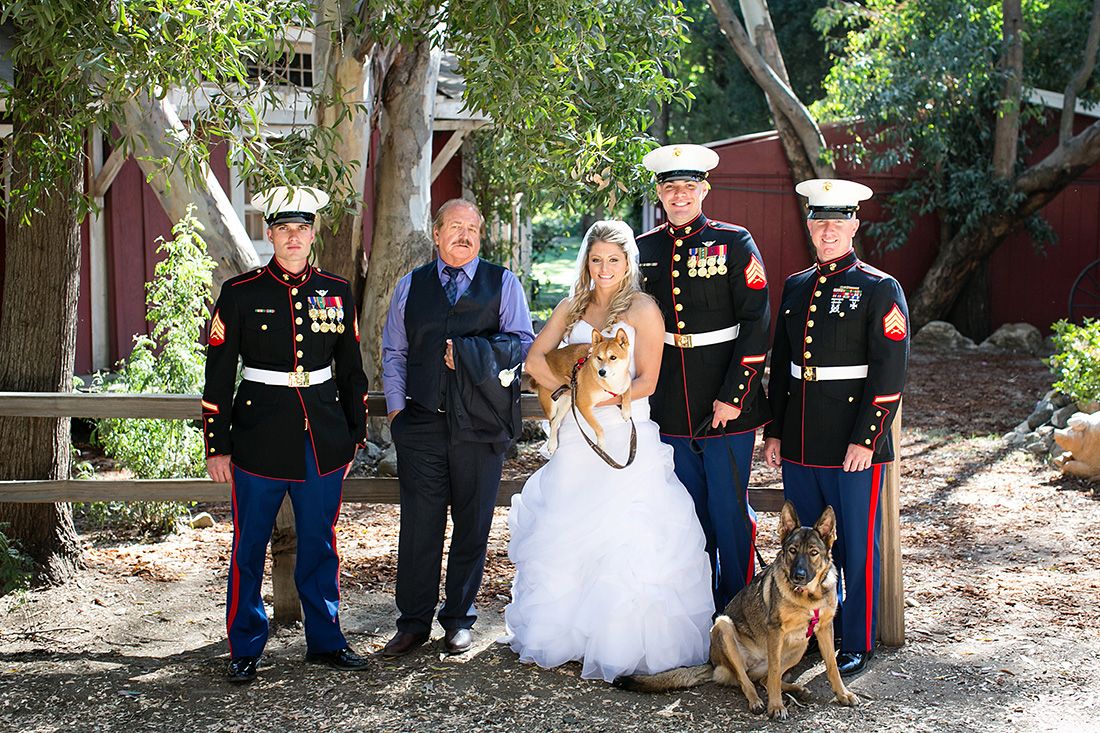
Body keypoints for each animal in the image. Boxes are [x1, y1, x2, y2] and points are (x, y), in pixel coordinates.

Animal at [611, 499, 858, 717]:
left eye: (813, 553)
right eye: (793, 550)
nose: (798, 576)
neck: (808, 597)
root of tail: (712, 663)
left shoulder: (824, 629)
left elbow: (832, 665)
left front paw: (842, 694)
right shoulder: (775, 631)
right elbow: (775, 673)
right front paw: (776, 706)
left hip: (800, 645)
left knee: (763, 679)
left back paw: (796, 689)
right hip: (723, 627)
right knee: (747, 680)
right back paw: (758, 702)